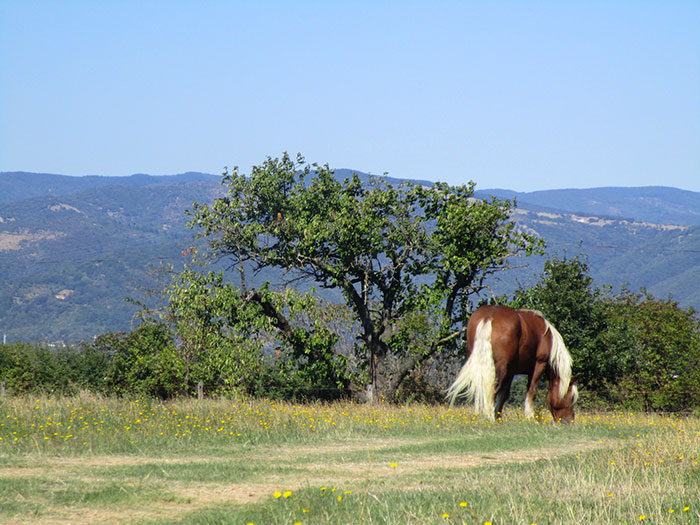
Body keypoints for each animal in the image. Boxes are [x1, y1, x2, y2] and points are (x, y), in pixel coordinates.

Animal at [447, 305, 578, 423]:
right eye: (572, 397)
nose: (569, 421)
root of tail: (489, 317)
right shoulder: (539, 365)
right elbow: (532, 390)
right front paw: (530, 417)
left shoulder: (511, 372)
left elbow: (504, 394)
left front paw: (498, 417)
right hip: (500, 367)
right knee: (492, 388)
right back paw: (490, 417)